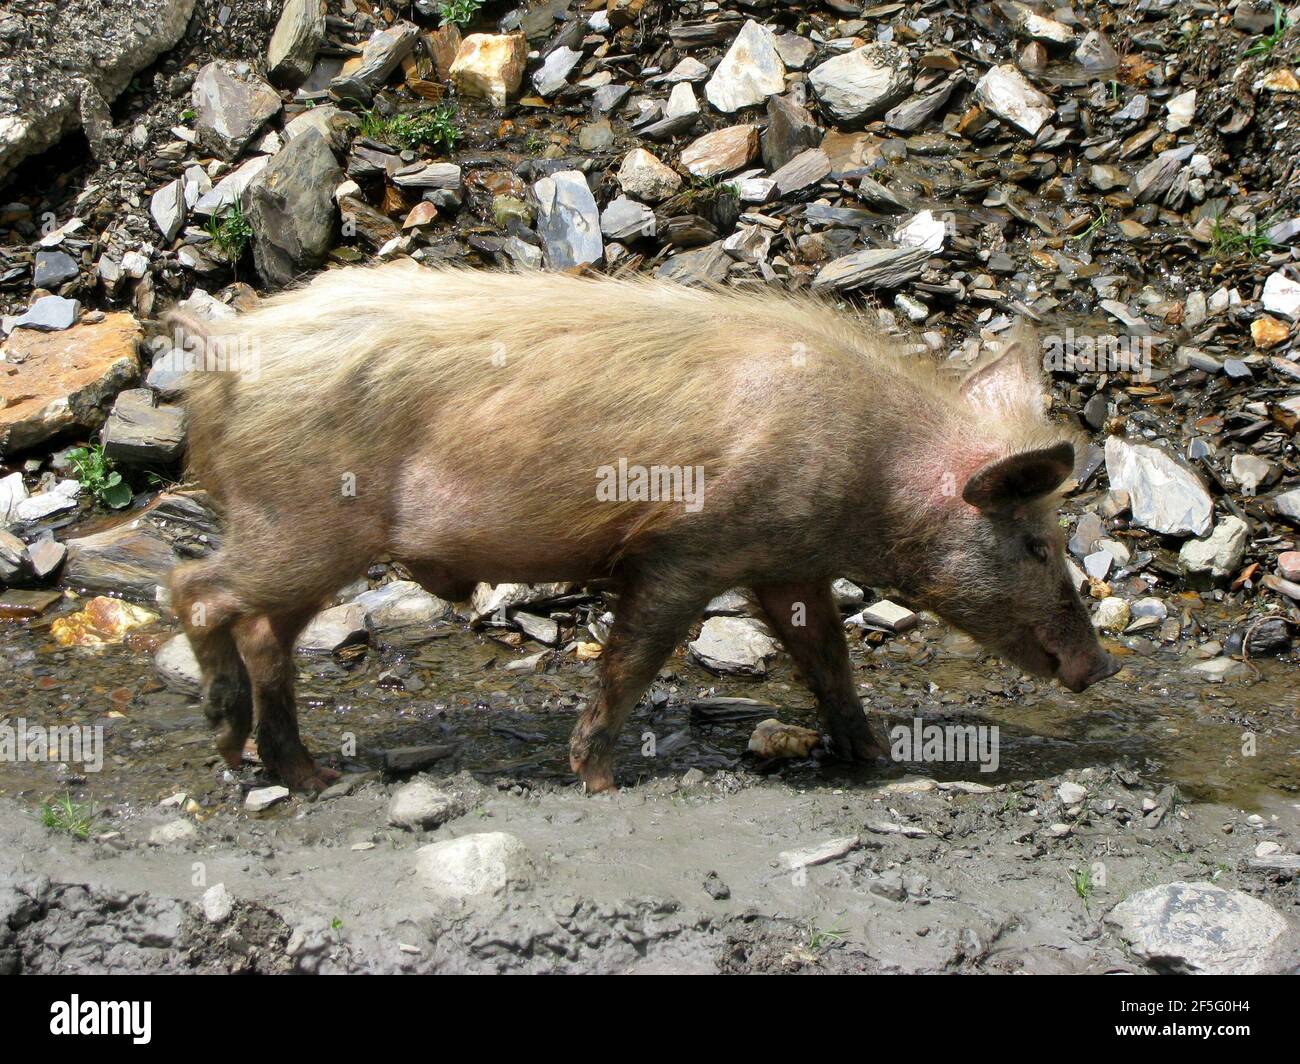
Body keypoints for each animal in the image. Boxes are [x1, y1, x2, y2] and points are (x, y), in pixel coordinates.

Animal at [165, 261, 1118, 790]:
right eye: (1036, 544)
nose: (1101, 665)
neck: (869, 471)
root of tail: (218, 351)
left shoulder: (786, 564)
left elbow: (828, 658)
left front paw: (874, 757)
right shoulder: (688, 548)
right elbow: (632, 659)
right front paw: (596, 780)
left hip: (306, 538)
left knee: (262, 630)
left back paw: (305, 775)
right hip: (302, 520)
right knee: (196, 589)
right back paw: (229, 739)